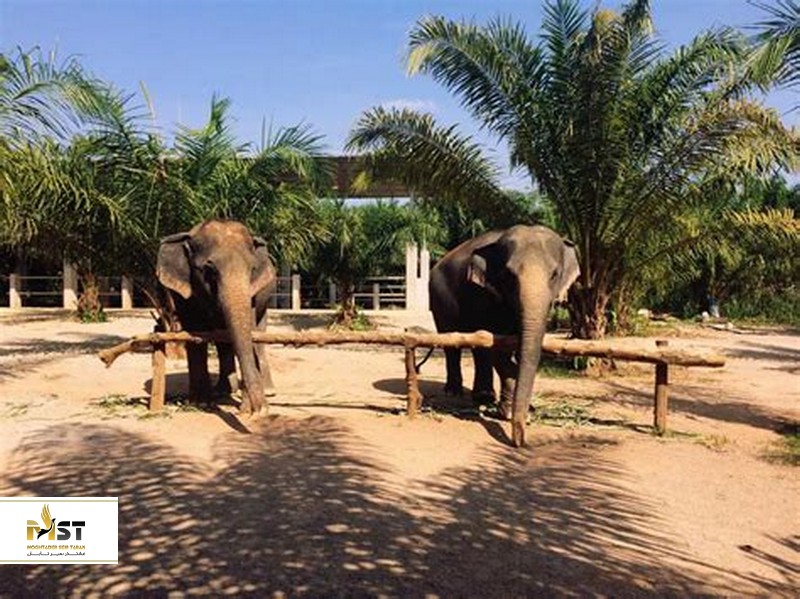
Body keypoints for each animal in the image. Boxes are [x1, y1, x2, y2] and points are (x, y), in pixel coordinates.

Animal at [156, 219, 277, 416]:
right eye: (209, 270)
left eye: (252, 269)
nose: (259, 410)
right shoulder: (184, 293)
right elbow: (196, 334)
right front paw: (201, 404)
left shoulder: (253, 294)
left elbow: (249, 333)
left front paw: (249, 409)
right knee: (223, 341)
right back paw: (223, 391)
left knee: (258, 336)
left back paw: (267, 391)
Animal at [429, 224, 580, 447]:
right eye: (508, 275)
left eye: (555, 275)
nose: (519, 442)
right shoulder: (484, 293)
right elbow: (497, 348)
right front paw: (509, 412)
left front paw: (526, 409)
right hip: (438, 300)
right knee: (452, 342)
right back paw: (457, 392)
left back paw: (484, 397)